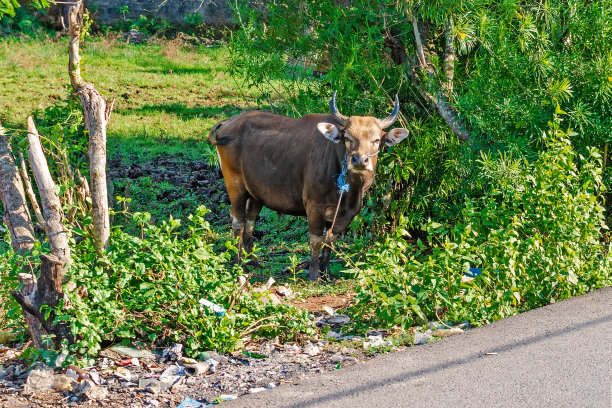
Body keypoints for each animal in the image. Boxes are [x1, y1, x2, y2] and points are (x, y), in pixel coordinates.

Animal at [208, 93, 408, 280]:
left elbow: (330, 240)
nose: (359, 160)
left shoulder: (346, 213)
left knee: (250, 222)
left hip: (256, 192)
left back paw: (253, 262)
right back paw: (238, 264)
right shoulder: (314, 206)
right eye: (348, 138)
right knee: (238, 222)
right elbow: (316, 240)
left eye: (376, 140)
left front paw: (327, 272)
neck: (350, 191)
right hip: (235, 184)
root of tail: (229, 122)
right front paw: (313, 274)